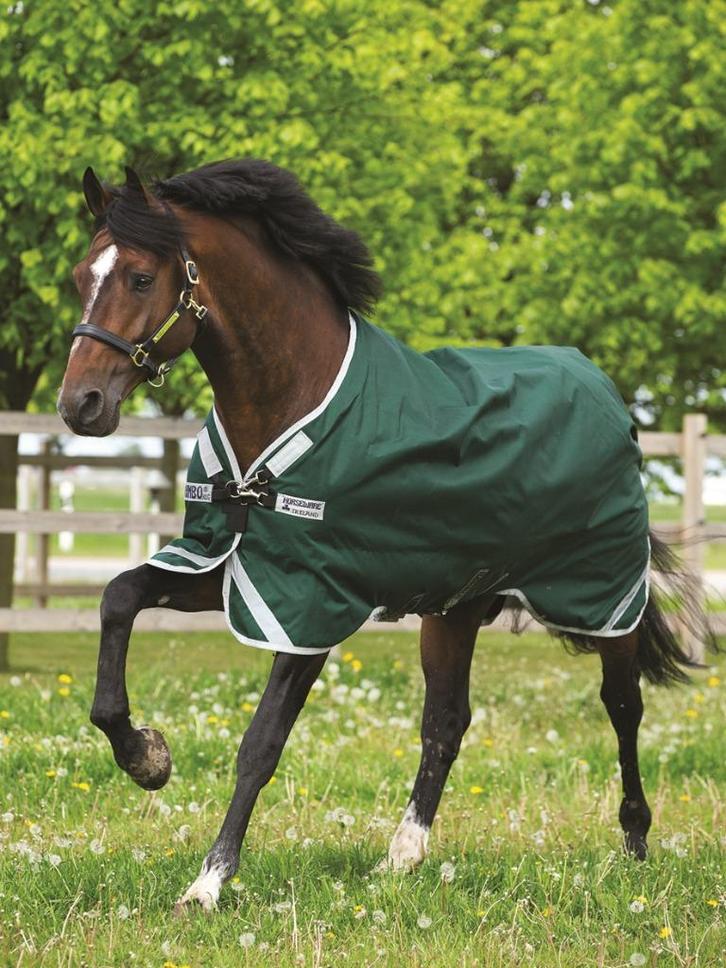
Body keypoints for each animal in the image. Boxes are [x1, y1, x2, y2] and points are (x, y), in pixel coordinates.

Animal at [57, 161, 715, 914]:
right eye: (80, 275)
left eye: (140, 278)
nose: (79, 405)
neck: (292, 396)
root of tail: (608, 395)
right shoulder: (232, 567)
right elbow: (118, 597)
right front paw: (146, 757)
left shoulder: (308, 605)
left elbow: (261, 743)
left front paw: (209, 881)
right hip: (454, 609)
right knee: (447, 721)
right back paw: (402, 856)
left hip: (603, 599)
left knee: (623, 705)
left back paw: (634, 842)